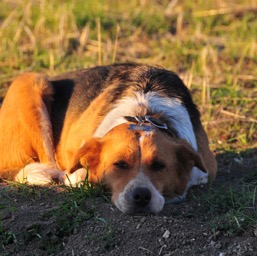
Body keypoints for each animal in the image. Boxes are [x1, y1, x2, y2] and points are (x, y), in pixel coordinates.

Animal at [0, 63, 216, 214]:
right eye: (120, 164)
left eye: (159, 166)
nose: (141, 196)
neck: (144, 113)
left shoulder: (207, 167)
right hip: (30, 83)